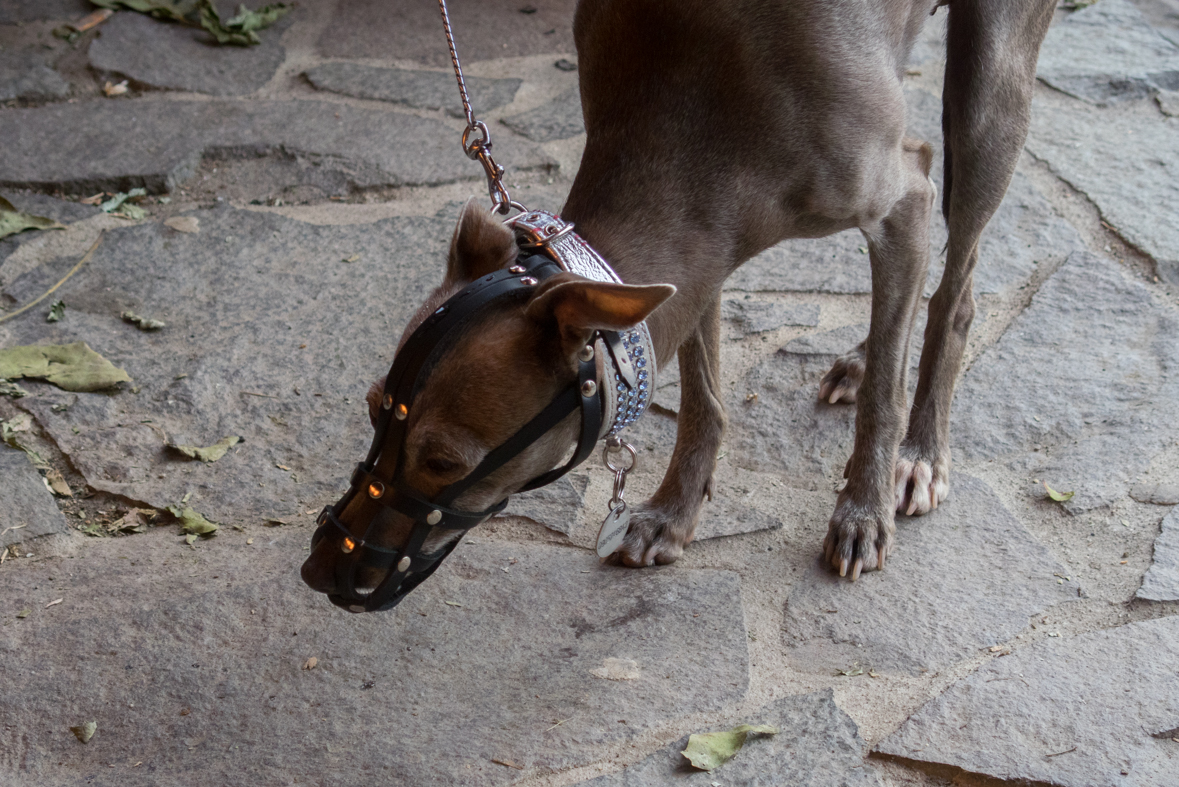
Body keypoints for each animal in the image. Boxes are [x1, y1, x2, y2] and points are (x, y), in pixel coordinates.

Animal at [299, 0, 1056, 593]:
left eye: (443, 463)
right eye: (372, 407)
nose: (319, 572)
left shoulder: (903, 199)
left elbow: (882, 395)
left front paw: (862, 511)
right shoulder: (703, 255)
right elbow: (702, 393)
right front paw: (672, 512)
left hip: (989, 98)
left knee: (954, 289)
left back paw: (921, 448)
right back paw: (867, 353)